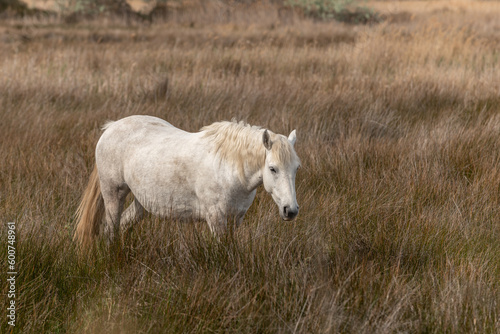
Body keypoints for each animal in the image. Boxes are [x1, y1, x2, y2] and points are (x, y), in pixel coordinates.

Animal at [74, 115, 300, 248]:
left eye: (296, 168)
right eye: (273, 168)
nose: (290, 210)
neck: (229, 169)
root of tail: (111, 127)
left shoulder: (236, 219)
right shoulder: (216, 219)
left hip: (141, 203)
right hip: (114, 194)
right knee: (111, 228)